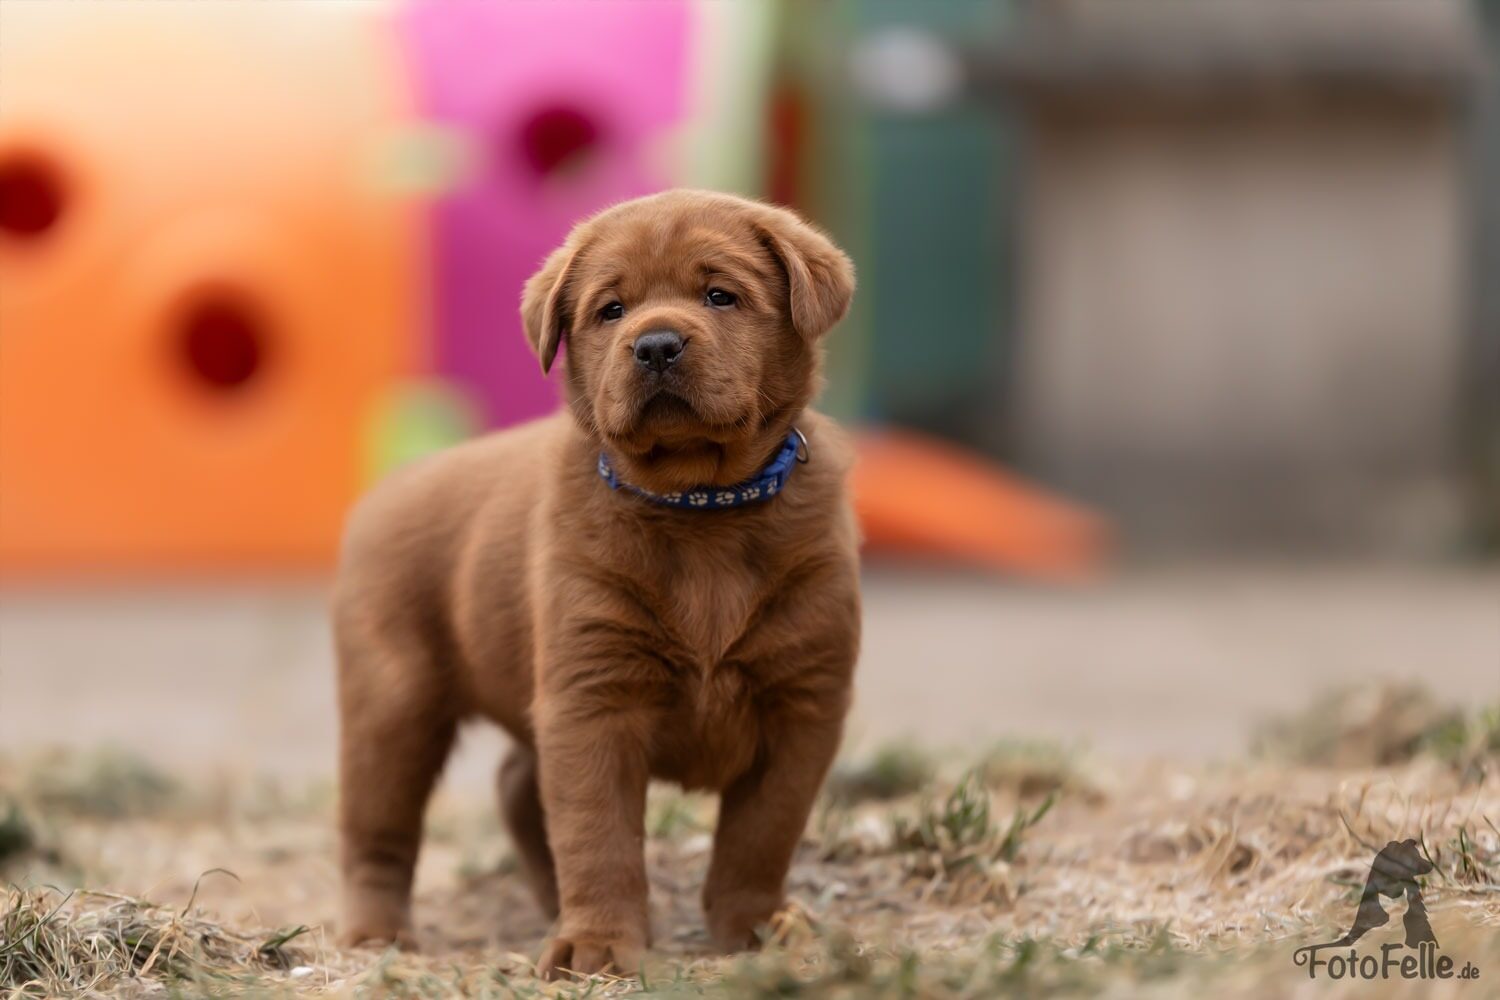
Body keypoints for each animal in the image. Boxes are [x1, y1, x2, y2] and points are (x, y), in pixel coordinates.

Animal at [333, 190, 861, 978]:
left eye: (720, 295)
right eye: (612, 310)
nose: (657, 344)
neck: (699, 507)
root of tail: (387, 488)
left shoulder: (803, 703)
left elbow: (762, 834)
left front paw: (756, 926)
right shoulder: (593, 699)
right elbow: (598, 834)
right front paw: (601, 945)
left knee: (517, 787)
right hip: (392, 703)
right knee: (379, 835)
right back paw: (377, 935)